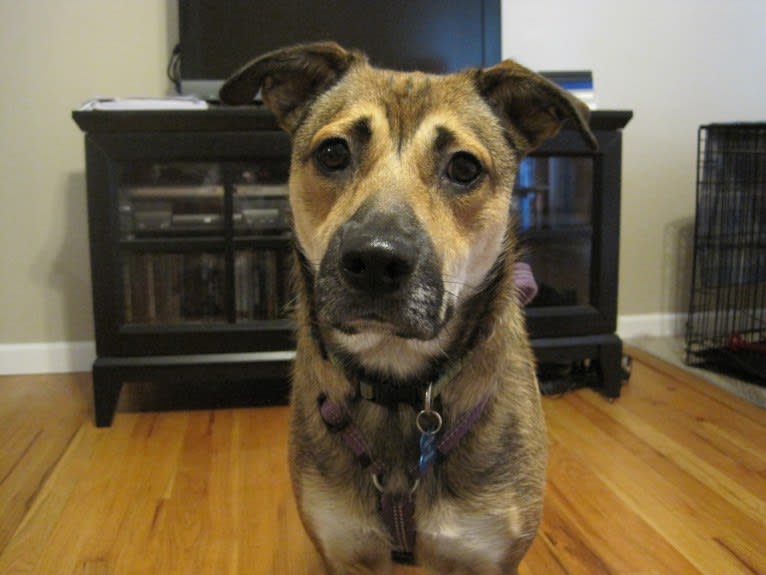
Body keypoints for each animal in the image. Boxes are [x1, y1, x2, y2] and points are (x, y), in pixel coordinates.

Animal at [219, 42, 596, 572]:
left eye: (464, 168)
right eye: (333, 153)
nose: (376, 261)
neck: (397, 381)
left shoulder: (488, 555)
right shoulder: (344, 551)